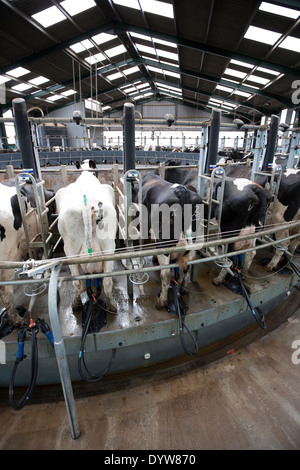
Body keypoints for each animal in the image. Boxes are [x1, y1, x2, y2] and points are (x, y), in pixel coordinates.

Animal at [55, 168, 117, 312]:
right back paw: (111, 304)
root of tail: (87, 206)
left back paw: (77, 303)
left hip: (70, 250)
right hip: (108, 246)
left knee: (79, 282)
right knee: (104, 281)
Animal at [132, 173, 203, 308]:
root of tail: (182, 192)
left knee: (165, 274)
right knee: (187, 267)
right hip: (192, 244)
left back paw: (162, 301)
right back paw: (183, 289)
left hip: (164, 245)